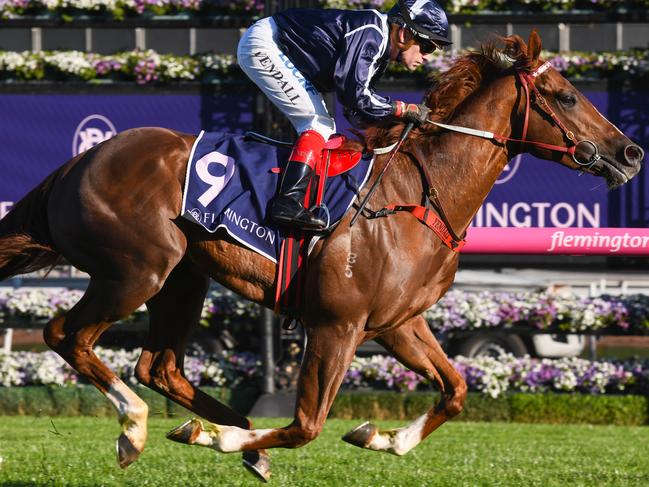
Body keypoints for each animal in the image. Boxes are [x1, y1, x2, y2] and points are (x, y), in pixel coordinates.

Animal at [0, 32, 640, 482]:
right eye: (566, 96)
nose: (630, 152)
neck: (420, 193)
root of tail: (81, 161)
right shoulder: (337, 324)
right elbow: (306, 425)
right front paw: (230, 441)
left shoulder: (398, 323)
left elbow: (455, 389)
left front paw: (382, 438)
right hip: (135, 271)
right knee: (67, 335)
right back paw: (138, 428)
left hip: (182, 277)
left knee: (159, 366)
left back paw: (222, 430)